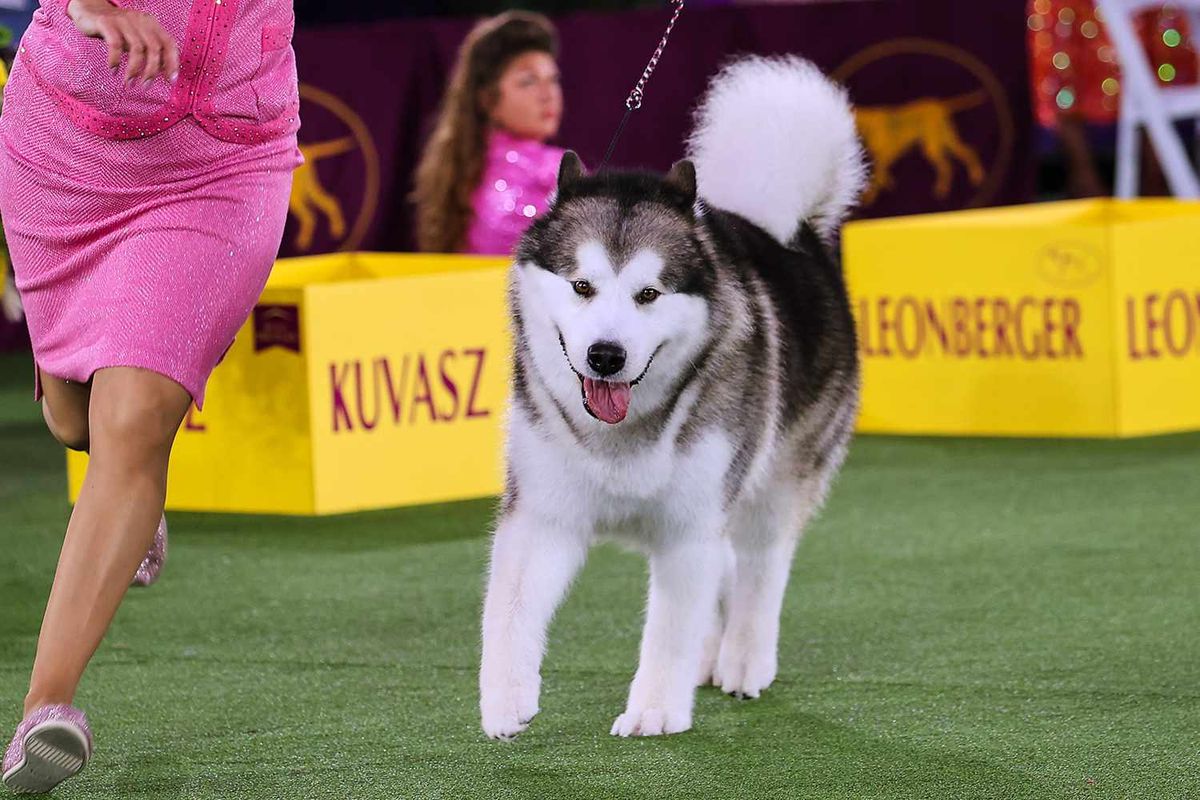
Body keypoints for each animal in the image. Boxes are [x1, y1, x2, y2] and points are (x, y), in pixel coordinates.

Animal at [482, 59, 868, 743]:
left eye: (649, 294)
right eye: (582, 286)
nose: (606, 355)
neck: (620, 432)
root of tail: (799, 240)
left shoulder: (690, 525)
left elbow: (669, 630)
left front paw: (655, 711)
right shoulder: (544, 512)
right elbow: (511, 610)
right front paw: (505, 699)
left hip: (775, 478)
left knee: (759, 568)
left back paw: (743, 659)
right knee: (728, 570)